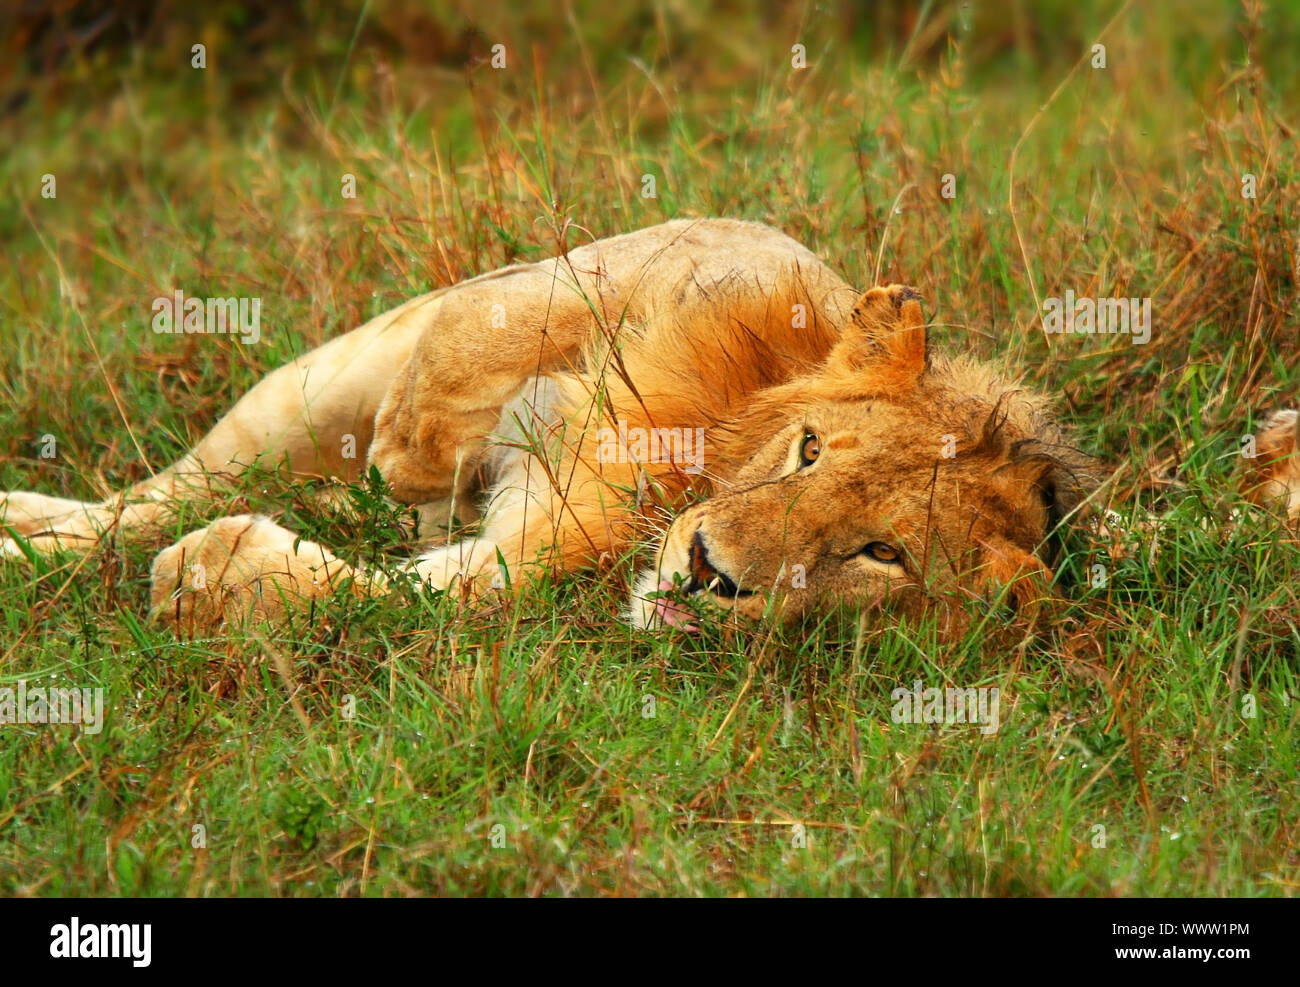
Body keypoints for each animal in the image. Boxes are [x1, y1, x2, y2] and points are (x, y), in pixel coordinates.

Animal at [3, 218, 1296, 632]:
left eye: (875, 554)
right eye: (807, 451)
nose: (710, 571)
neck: (689, 480)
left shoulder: (536, 559)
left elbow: (416, 593)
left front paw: (216, 582)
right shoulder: (672, 261)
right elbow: (482, 356)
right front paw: (416, 460)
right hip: (312, 384)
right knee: (162, 488)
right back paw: (36, 520)